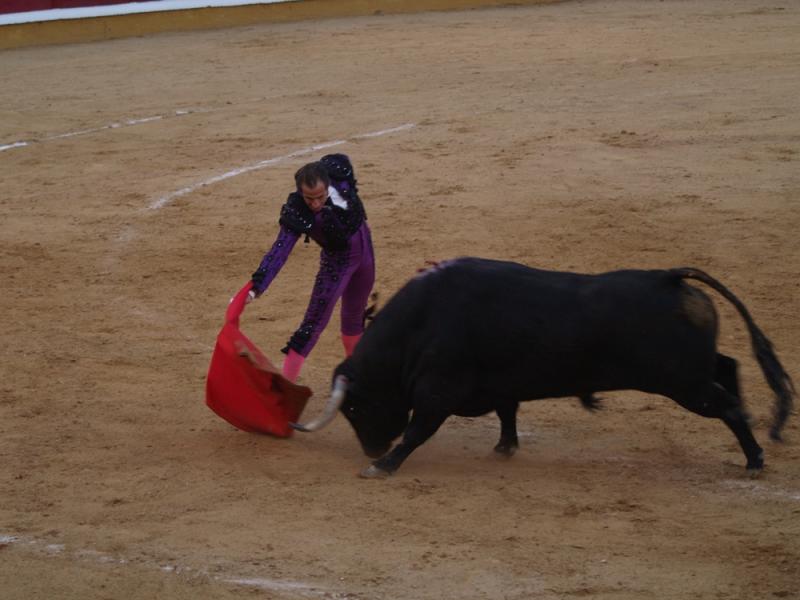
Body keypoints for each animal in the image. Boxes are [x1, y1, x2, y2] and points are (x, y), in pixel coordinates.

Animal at [290, 258, 792, 478]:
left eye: (355, 408)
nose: (371, 450)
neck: (418, 326)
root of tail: (669, 277)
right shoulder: (497, 385)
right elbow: (508, 412)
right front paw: (505, 448)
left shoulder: (438, 393)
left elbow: (417, 430)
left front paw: (385, 466)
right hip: (694, 371)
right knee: (728, 368)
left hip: (683, 382)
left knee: (726, 406)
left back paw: (754, 460)